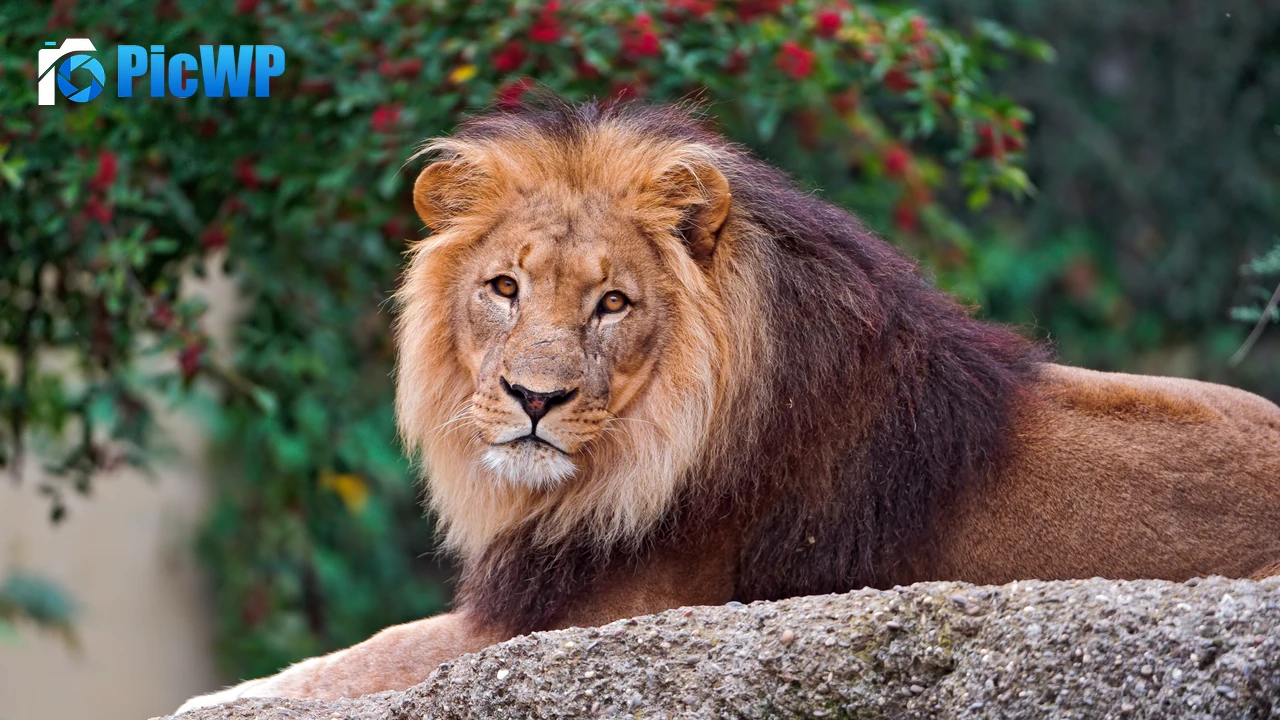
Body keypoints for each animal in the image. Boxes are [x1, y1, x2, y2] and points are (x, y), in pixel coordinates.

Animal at [178, 100, 1280, 711]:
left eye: (612, 304)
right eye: (503, 287)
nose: (534, 397)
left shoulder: (594, 621)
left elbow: (370, 654)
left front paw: (225, 696)